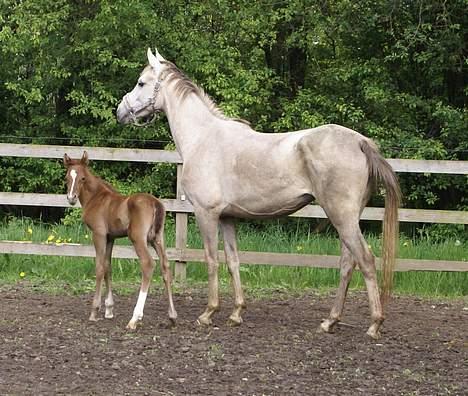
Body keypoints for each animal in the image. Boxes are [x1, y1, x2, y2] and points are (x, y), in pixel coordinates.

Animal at [63, 152, 176, 328]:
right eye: (67, 177)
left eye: (82, 178)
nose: (71, 198)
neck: (96, 198)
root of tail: (155, 203)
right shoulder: (110, 237)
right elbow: (108, 266)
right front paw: (109, 310)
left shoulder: (99, 234)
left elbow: (99, 268)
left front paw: (94, 311)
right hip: (157, 238)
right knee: (165, 266)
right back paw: (172, 316)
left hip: (138, 238)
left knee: (148, 264)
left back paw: (134, 319)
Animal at [115, 48, 400, 340]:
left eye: (141, 83)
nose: (120, 111)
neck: (203, 138)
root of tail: (360, 142)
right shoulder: (228, 218)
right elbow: (233, 261)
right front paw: (236, 313)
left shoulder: (207, 214)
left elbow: (211, 260)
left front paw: (208, 313)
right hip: (346, 220)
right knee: (347, 264)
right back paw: (329, 321)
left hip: (342, 218)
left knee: (365, 261)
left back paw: (374, 324)